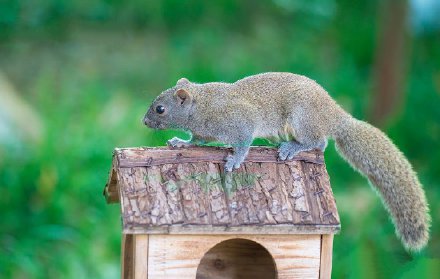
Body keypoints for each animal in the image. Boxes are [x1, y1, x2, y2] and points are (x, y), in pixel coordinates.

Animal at [144, 71, 430, 252]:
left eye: (160, 109)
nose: (144, 122)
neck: (201, 105)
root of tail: (333, 115)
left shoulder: (240, 122)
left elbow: (243, 142)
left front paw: (235, 160)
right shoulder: (203, 133)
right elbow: (196, 141)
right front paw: (180, 143)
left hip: (302, 118)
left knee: (319, 142)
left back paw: (293, 147)